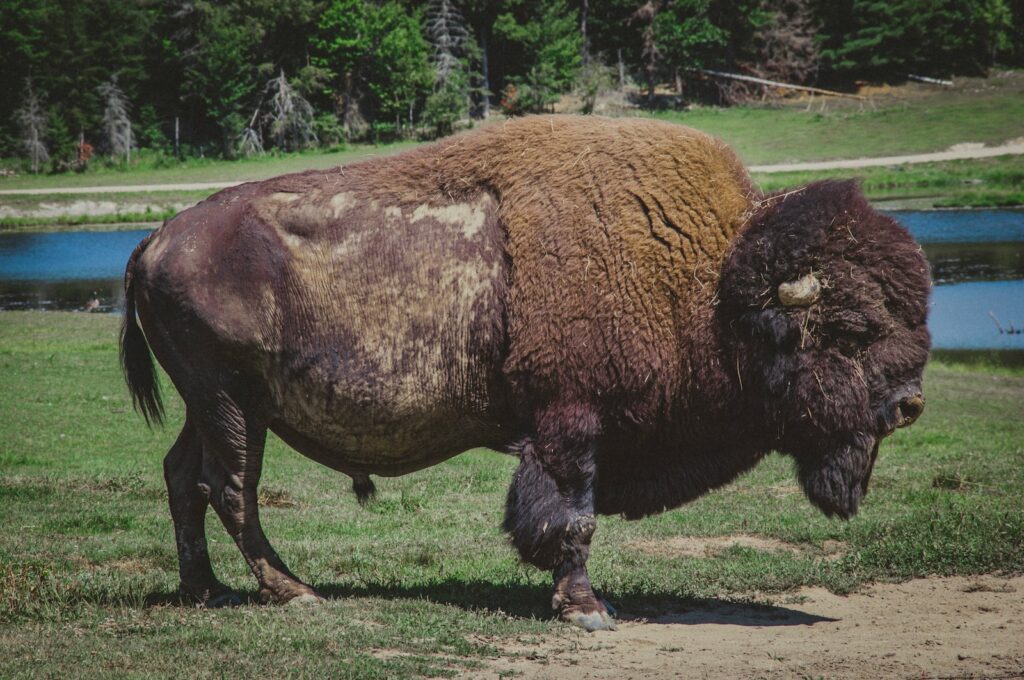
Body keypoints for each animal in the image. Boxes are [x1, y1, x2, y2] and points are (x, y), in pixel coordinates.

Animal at [121, 115, 930, 631]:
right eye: (854, 329)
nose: (909, 404)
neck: (713, 285)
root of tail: (155, 239)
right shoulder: (569, 424)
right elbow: (571, 517)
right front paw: (588, 611)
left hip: (208, 404)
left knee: (182, 477)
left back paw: (209, 592)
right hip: (230, 398)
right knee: (231, 487)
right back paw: (293, 592)